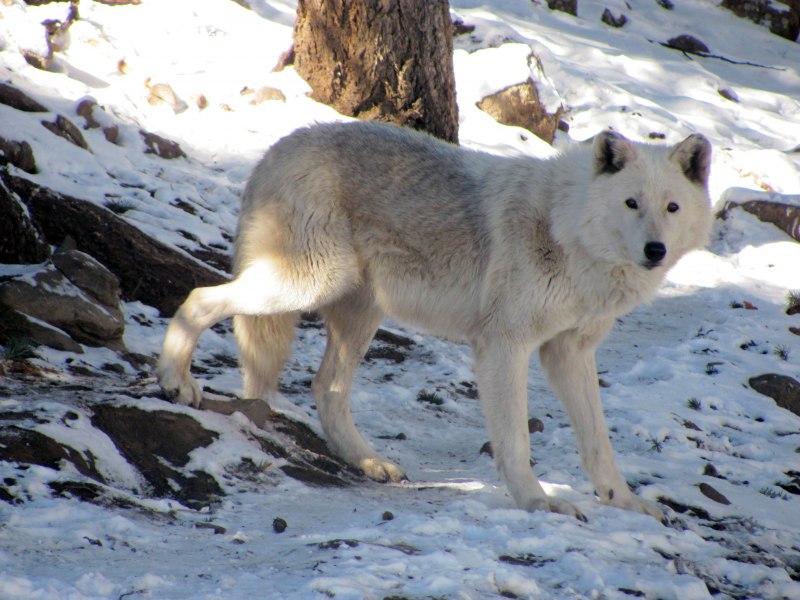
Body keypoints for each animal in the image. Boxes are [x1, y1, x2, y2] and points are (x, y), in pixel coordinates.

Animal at [157, 121, 712, 521]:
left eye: (672, 207)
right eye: (631, 203)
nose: (655, 250)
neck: (566, 230)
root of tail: (276, 149)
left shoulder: (568, 353)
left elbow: (599, 444)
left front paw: (625, 502)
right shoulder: (504, 346)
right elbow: (516, 442)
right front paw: (537, 503)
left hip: (356, 313)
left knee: (326, 390)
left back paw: (369, 462)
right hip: (304, 285)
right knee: (200, 297)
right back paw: (175, 380)